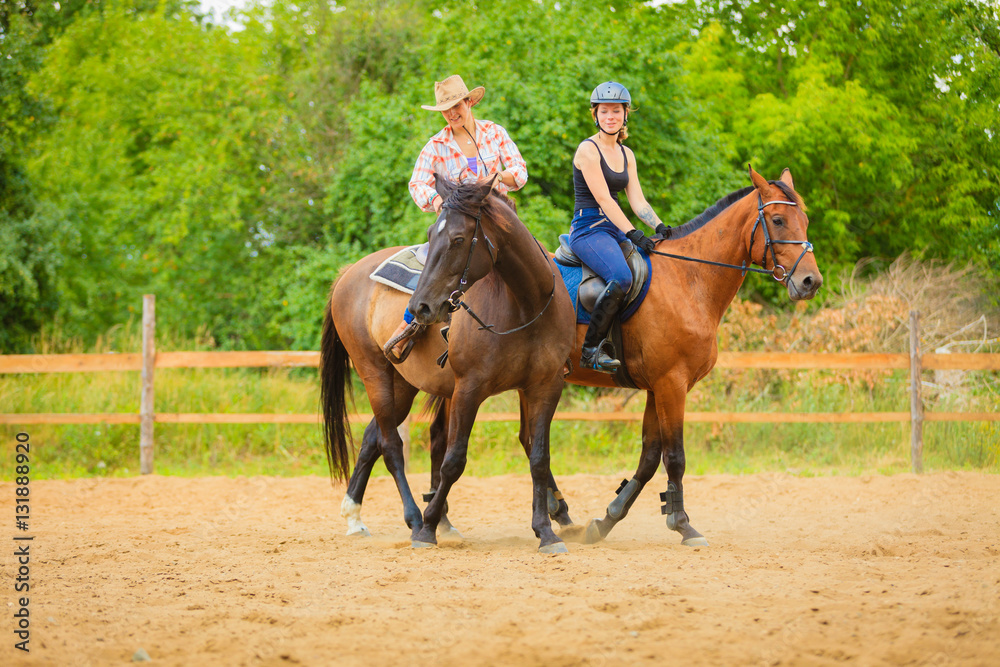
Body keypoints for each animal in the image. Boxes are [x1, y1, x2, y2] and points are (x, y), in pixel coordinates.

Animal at [316, 174, 576, 552]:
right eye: (430, 234)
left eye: (458, 239)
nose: (420, 306)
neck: (524, 305)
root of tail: (349, 273)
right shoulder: (469, 388)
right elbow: (454, 460)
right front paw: (427, 528)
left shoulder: (545, 386)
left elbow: (539, 458)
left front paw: (546, 532)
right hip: (373, 373)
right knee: (391, 446)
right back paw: (413, 519)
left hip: (402, 385)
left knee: (371, 438)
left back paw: (354, 516)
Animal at [568, 166, 824, 544]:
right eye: (778, 220)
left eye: (804, 221)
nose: (810, 282)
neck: (689, 279)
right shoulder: (671, 383)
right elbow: (675, 456)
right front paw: (683, 524)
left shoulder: (656, 388)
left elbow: (649, 457)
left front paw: (606, 520)